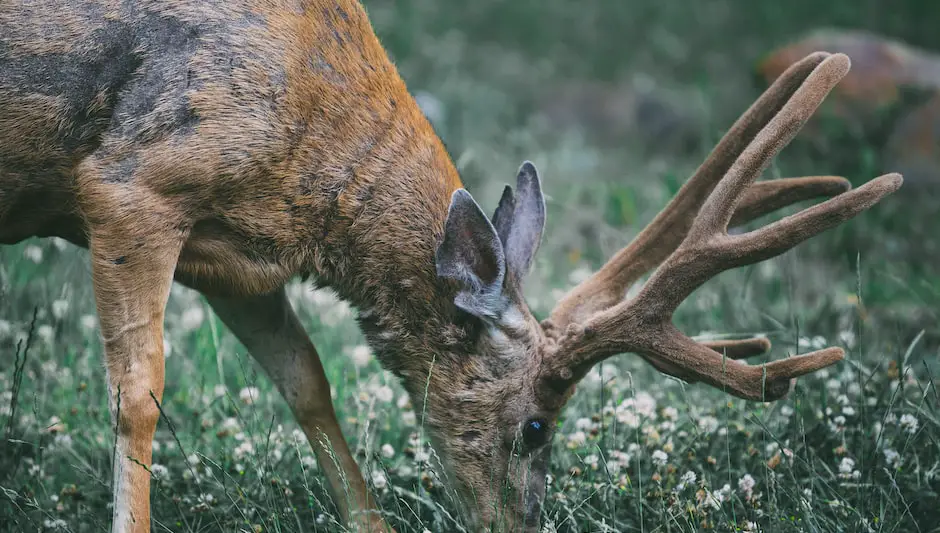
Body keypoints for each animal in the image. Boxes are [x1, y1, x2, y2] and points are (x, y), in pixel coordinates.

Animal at [0, 1, 904, 532]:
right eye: (536, 425)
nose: (517, 526)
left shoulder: (233, 259)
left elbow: (305, 377)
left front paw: (370, 523)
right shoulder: (131, 183)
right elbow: (139, 394)